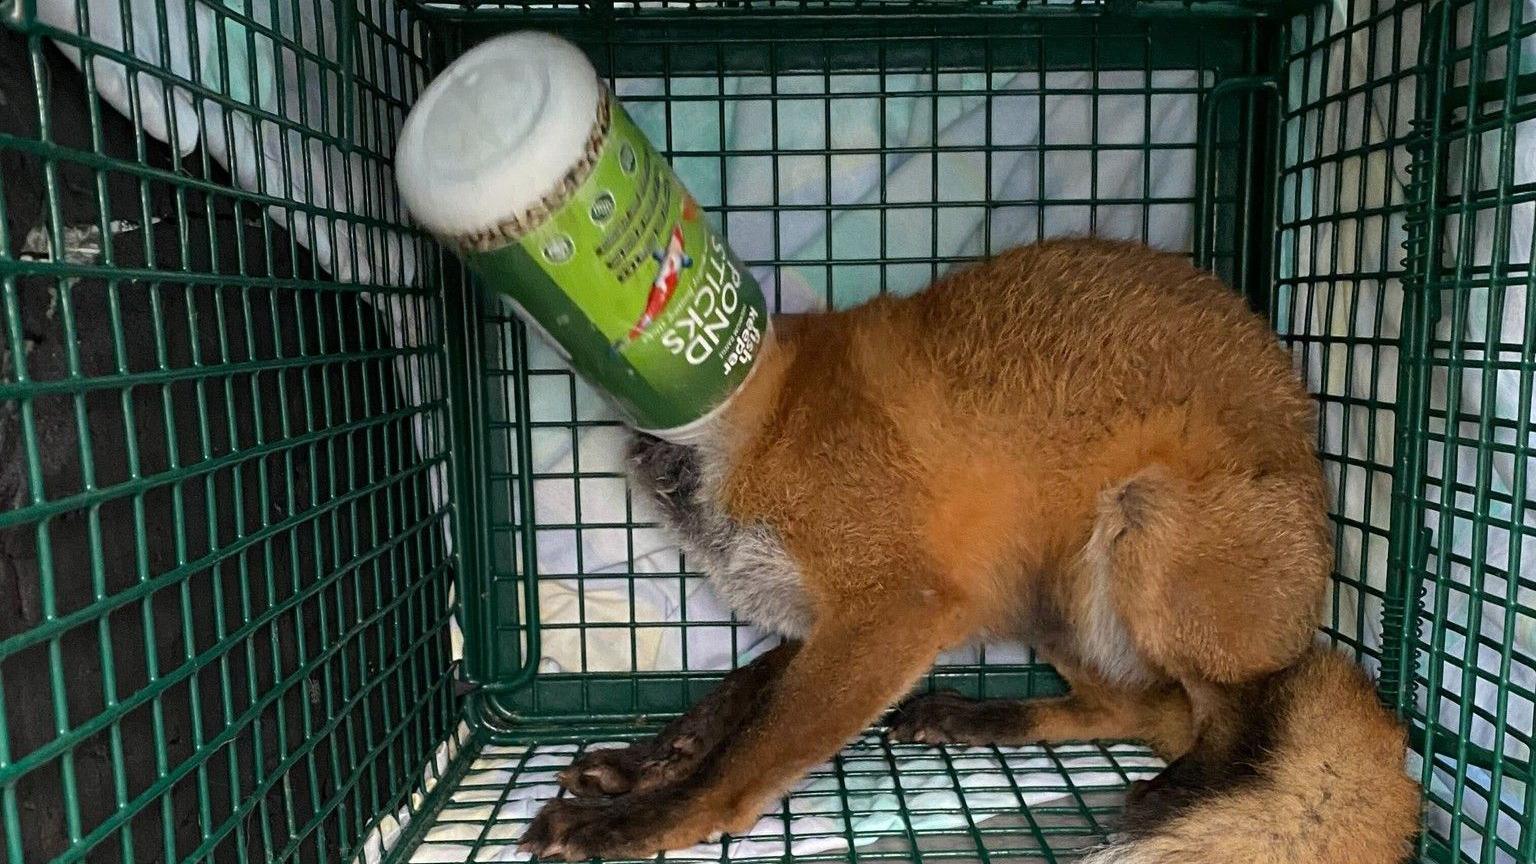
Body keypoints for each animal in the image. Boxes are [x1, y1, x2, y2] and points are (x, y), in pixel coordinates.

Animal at [516, 236, 1413, 860]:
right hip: (1050, 597)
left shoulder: (893, 608)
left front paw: (639, 821)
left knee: (1219, 717)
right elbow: (722, 709)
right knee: (1127, 708)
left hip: (1142, 534)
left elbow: (744, 757)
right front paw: (642, 765)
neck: (762, 430)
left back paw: (1181, 792)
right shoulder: (823, 621)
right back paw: (979, 719)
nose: (644, 449)